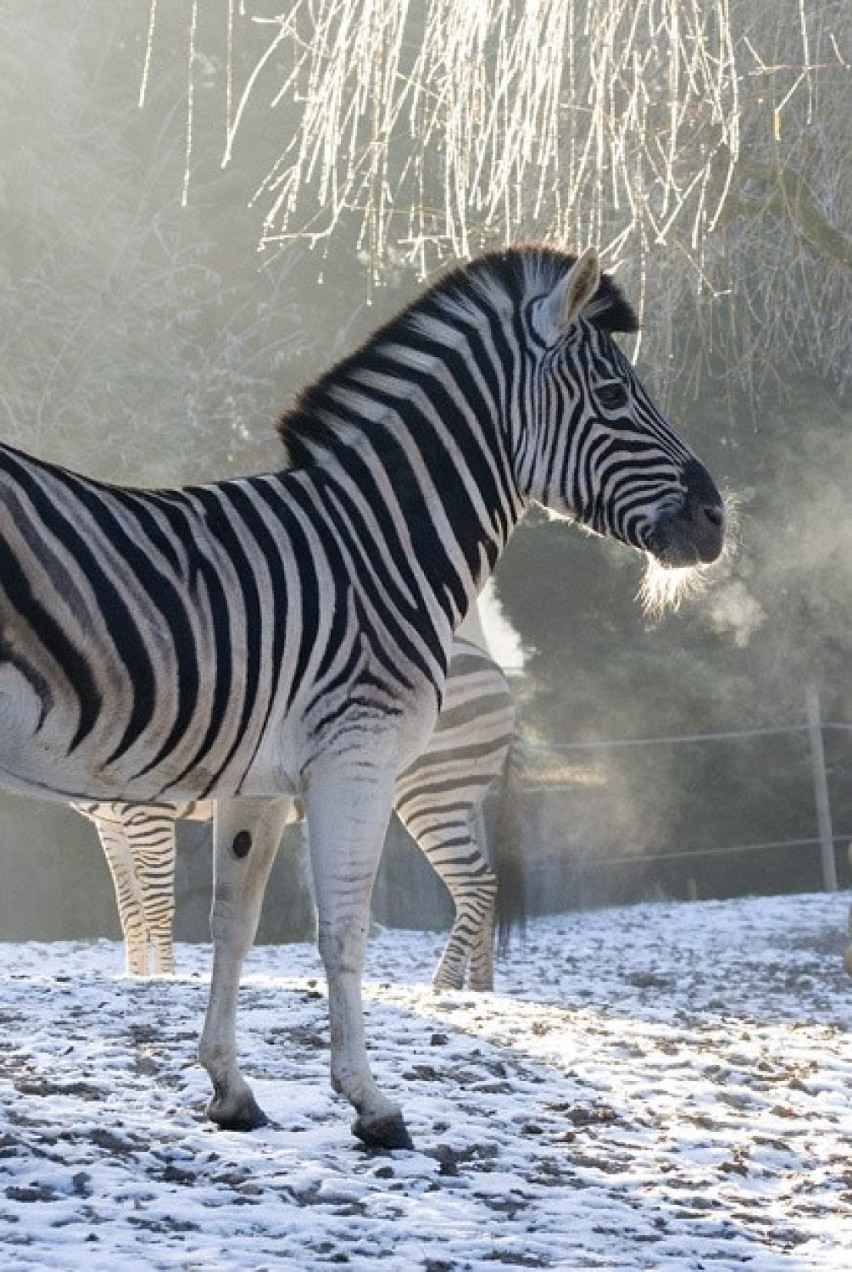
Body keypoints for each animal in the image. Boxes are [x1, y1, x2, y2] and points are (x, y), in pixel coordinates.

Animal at [75, 630, 526, 987]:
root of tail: (494, 666)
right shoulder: (110, 822)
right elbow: (129, 907)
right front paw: (135, 977)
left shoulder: (148, 812)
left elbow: (155, 901)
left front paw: (165, 978)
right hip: (462, 796)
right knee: (485, 882)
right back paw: (478, 989)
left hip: (431, 791)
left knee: (475, 882)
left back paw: (442, 986)